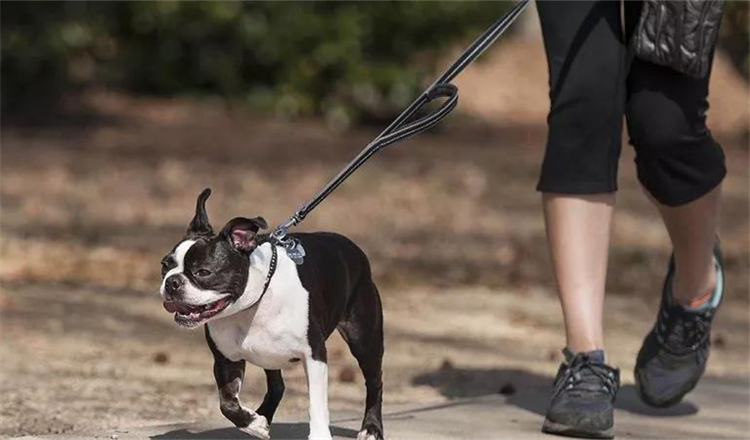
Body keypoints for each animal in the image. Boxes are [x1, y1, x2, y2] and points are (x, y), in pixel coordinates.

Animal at [157, 189, 382, 440]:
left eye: (203, 272)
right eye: (164, 266)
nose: (172, 282)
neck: (251, 305)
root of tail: (352, 247)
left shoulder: (314, 355)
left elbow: (316, 404)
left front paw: (319, 435)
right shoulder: (225, 361)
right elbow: (227, 404)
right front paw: (253, 423)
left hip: (364, 340)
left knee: (374, 382)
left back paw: (371, 428)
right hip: (270, 355)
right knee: (277, 386)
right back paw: (261, 416)